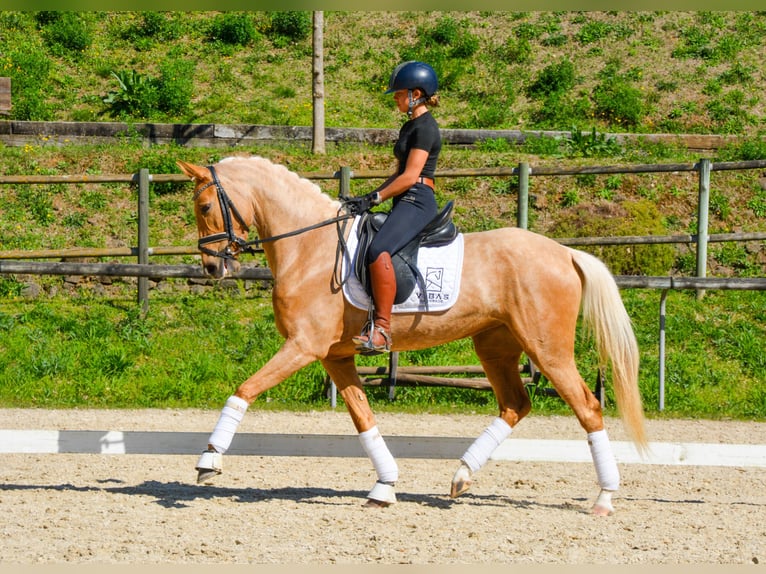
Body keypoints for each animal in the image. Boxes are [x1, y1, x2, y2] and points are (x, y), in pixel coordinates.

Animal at [177, 155, 648, 516]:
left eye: (204, 205)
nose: (212, 268)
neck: (310, 249)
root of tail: (565, 253)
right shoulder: (334, 356)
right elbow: (364, 419)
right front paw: (384, 487)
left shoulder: (303, 346)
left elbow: (244, 389)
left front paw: (208, 460)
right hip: (494, 344)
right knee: (516, 404)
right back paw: (461, 477)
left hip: (548, 349)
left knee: (588, 408)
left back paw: (604, 497)